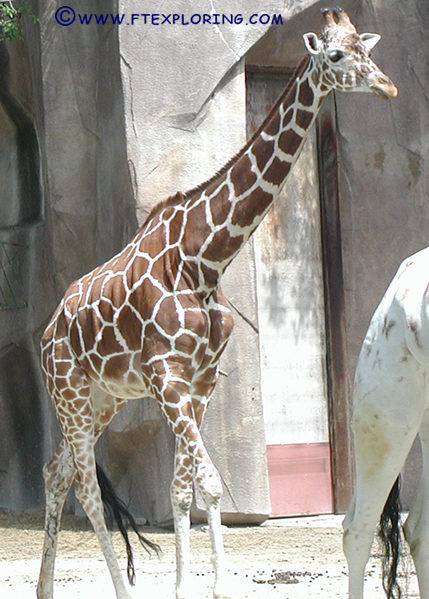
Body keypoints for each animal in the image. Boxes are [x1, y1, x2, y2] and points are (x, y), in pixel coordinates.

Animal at [36, 8, 398, 599]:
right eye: (337, 55)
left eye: (365, 50)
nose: (387, 86)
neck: (205, 258)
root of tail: (45, 334)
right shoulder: (167, 376)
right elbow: (206, 481)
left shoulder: (201, 380)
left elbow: (187, 489)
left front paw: (199, 586)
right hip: (68, 392)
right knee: (85, 487)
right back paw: (118, 589)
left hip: (101, 400)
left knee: (55, 472)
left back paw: (45, 588)